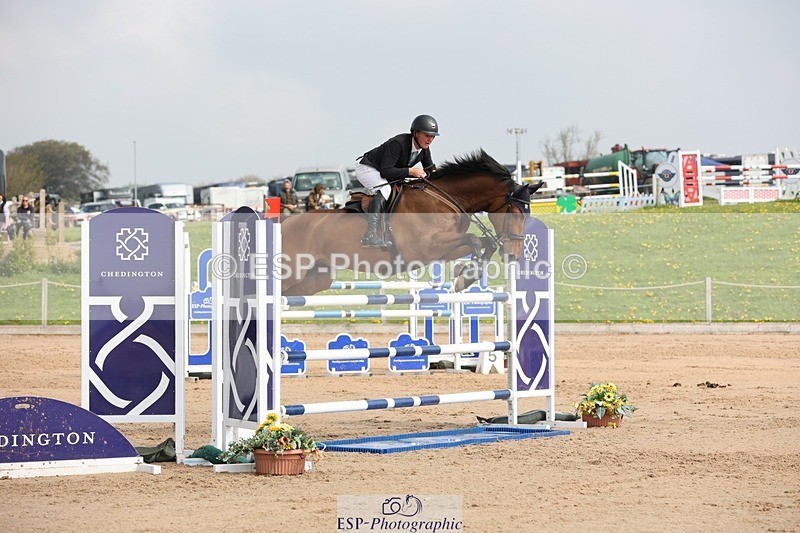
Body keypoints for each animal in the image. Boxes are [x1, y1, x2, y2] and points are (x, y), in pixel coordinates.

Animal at [279, 149, 540, 295]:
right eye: (516, 214)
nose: (514, 256)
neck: (444, 198)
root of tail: (282, 224)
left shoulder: (444, 250)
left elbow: (485, 243)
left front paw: (464, 278)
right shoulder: (425, 246)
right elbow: (475, 239)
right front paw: (466, 275)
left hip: (315, 279)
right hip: (292, 273)